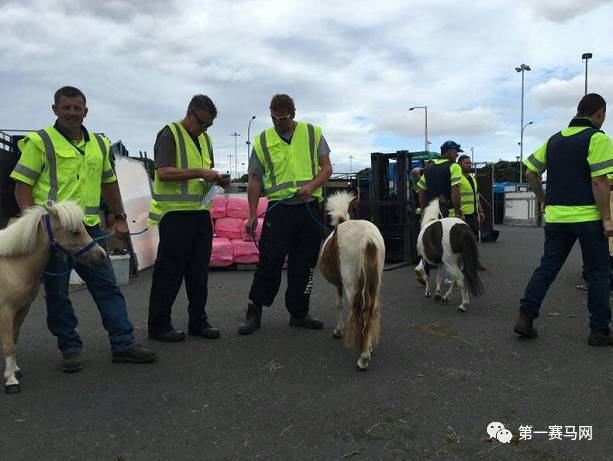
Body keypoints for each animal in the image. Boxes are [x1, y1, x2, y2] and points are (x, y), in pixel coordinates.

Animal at [0, 201, 106, 392]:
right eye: (75, 232)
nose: (102, 255)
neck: (13, 263)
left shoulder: (22, 309)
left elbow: (14, 338)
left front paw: (15, 370)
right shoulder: (5, 311)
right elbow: (9, 345)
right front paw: (11, 381)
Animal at [318, 191, 384, 370]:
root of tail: (367, 237)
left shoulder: (339, 284)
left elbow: (339, 304)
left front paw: (338, 331)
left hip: (351, 284)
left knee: (360, 310)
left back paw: (363, 357)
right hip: (375, 283)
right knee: (371, 309)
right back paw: (368, 348)